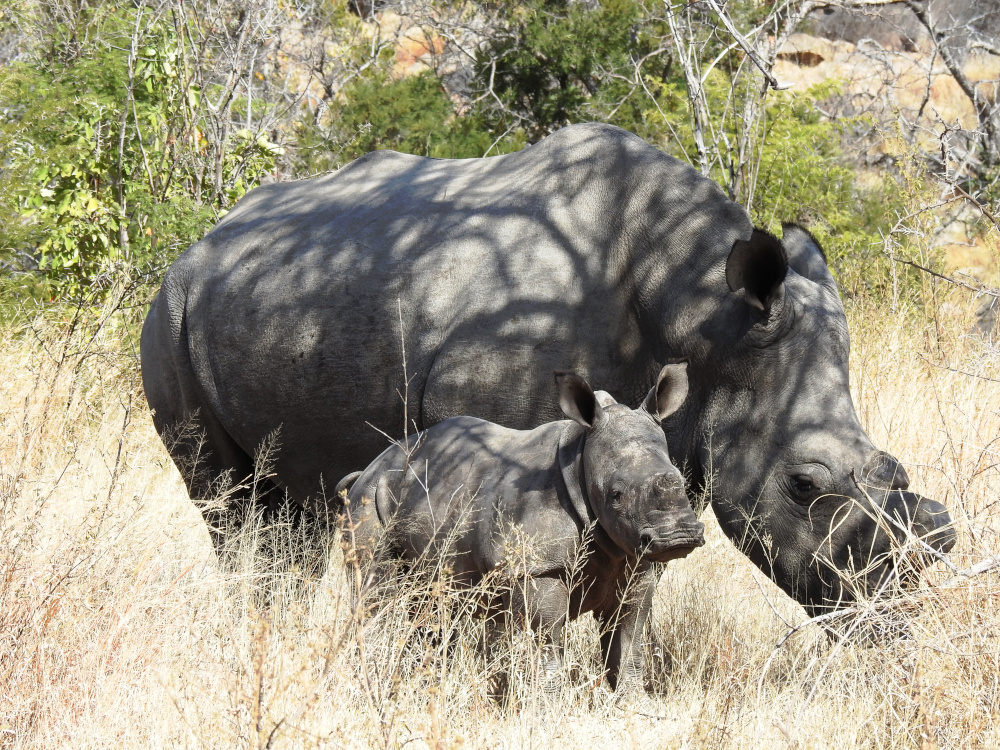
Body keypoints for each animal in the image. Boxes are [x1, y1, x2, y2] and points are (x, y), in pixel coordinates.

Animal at [340, 364, 708, 692]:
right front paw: (550, 708)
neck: (580, 461)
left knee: (431, 608)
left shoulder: (635, 559)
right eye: (615, 495)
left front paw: (633, 705)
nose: (679, 536)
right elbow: (548, 643)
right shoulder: (537, 567)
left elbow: (628, 641)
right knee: (378, 596)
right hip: (368, 500)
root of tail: (366, 470)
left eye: (680, 479)